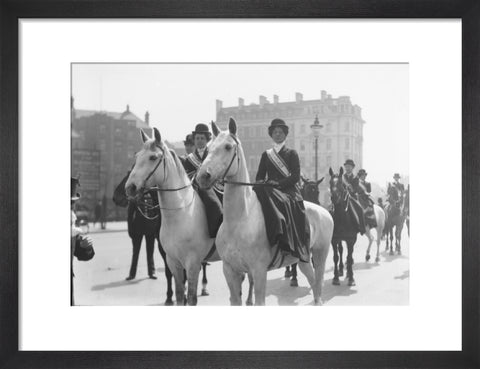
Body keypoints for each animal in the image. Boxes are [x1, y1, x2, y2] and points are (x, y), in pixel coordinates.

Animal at [124, 127, 223, 304]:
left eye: (153, 157)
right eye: (136, 156)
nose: (130, 187)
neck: (179, 214)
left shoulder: (192, 263)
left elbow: (191, 298)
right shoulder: (172, 261)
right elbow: (179, 294)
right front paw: (171, 298)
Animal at [196, 118, 334, 304]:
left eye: (228, 147)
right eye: (208, 147)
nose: (203, 176)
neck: (238, 221)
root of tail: (324, 211)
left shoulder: (259, 271)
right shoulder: (230, 270)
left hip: (320, 255)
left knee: (318, 285)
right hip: (303, 258)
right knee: (313, 282)